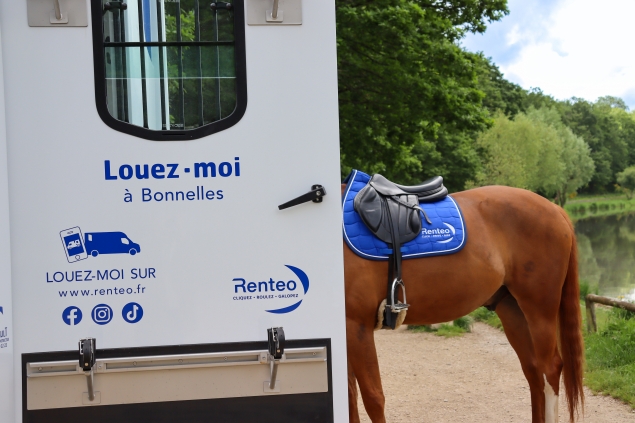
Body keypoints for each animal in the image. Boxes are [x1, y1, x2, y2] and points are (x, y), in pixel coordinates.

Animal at [343, 184, 584, 423]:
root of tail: (555, 209)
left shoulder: (357, 326)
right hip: (513, 311)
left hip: (540, 311)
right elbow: (349, 396)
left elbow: (372, 397)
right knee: (533, 372)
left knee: (550, 369)